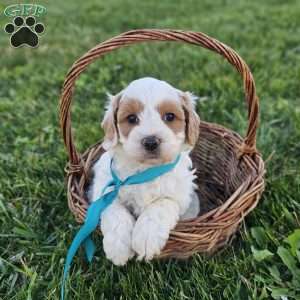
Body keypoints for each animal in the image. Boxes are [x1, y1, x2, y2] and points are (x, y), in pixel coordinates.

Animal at [89, 77, 202, 264]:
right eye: (131, 118)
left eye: (169, 116)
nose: (150, 142)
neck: (145, 170)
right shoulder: (104, 189)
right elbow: (114, 210)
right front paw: (118, 247)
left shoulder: (180, 197)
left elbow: (161, 204)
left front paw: (146, 237)